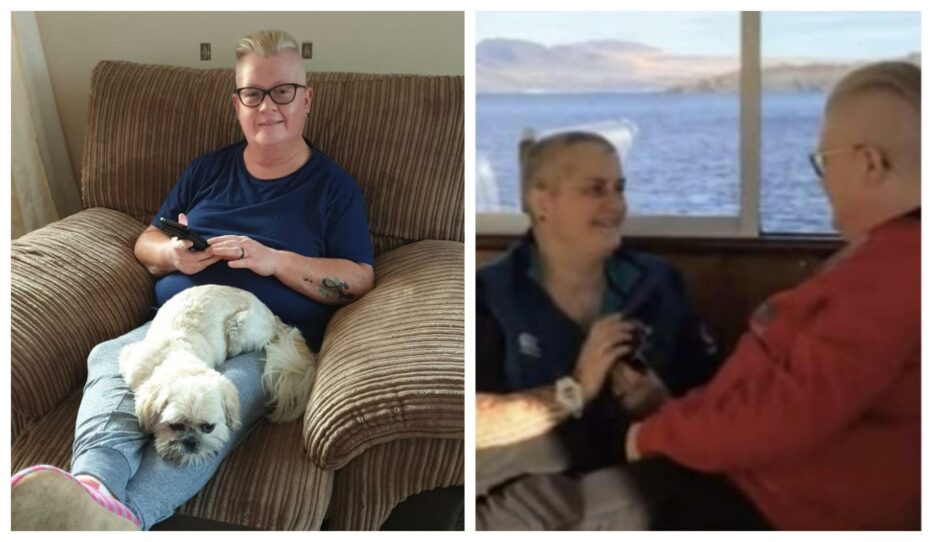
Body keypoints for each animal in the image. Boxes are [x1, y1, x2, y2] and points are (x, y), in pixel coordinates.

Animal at [119, 284, 318, 468]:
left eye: (208, 428)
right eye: (175, 426)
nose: (191, 441)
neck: (176, 354)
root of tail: (272, 316)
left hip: (238, 329)